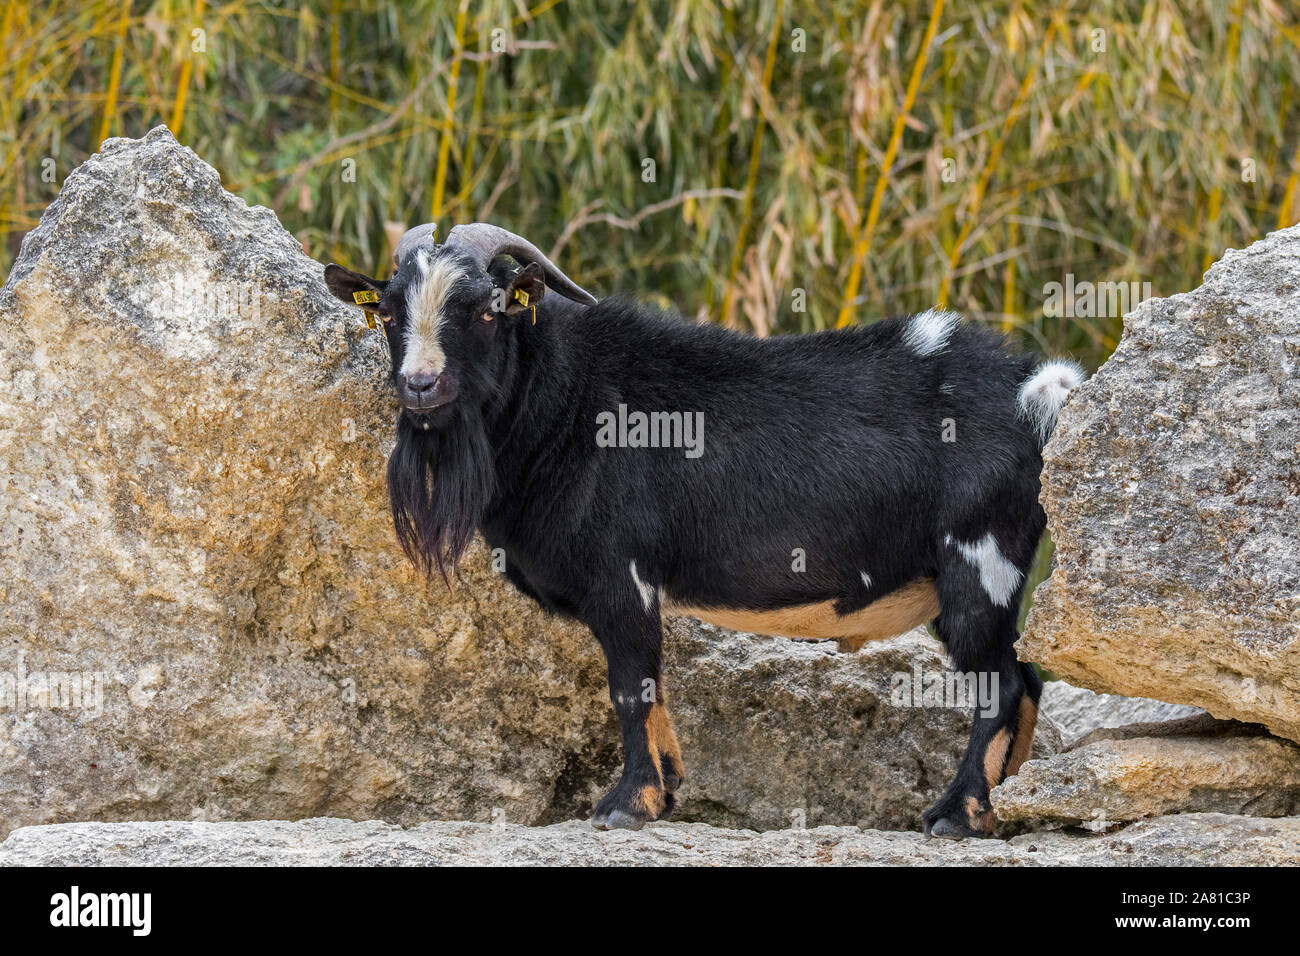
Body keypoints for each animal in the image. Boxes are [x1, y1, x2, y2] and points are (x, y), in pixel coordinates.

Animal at [322, 226, 1076, 837]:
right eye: (388, 311)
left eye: (485, 309)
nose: (420, 386)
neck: (568, 402)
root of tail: (1034, 390)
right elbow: (651, 689)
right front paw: (665, 791)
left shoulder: (622, 575)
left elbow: (630, 687)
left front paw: (626, 804)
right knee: (1027, 679)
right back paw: (1004, 801)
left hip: (980, 558)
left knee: (1001, 686)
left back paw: (957, 814)